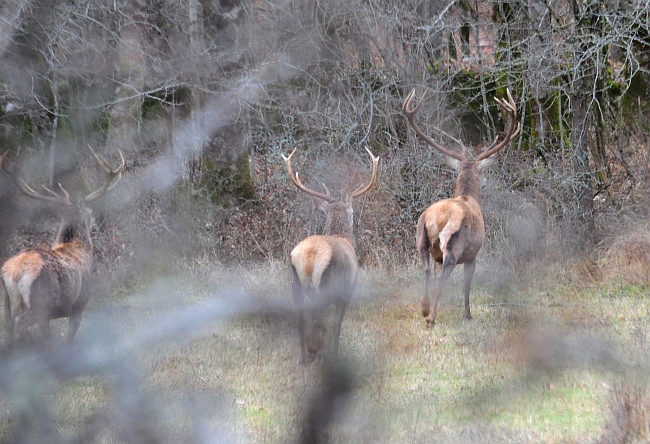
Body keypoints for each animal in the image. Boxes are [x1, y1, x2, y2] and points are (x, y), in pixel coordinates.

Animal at [0, 147, 124, 346]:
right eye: (89, 211)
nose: (96, 220)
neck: (75, 247)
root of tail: (16, 272)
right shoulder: (79, 304)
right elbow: (69, 338)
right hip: (40, 302)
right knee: (21, 324)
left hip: (7, 302)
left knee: (10, 326)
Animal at [280, 147, 378, 362]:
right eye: (352, 212)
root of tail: (309, 257)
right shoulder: (347, 290)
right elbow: (337, 326)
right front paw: (335, 352)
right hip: (326, 284)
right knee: (319, 320)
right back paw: (316, 351)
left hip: (296, 284)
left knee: (300, 321)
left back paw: (304, 357)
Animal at [402, 88, 520, 328]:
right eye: (482, 172)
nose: (485, 182)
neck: (468, 197)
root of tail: (436, 218)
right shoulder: (474, 254)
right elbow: (467, 286)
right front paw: (468, 314)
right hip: (454, 245)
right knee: (442, 277)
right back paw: (431, 317)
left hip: (420, 238)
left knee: (426, 270)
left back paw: (424, 308)